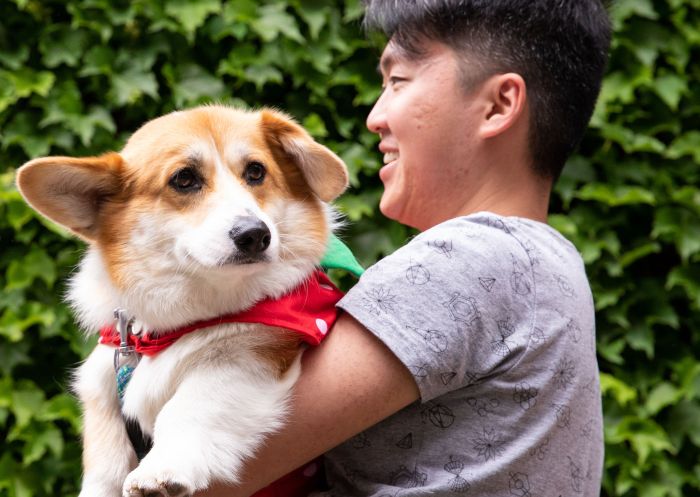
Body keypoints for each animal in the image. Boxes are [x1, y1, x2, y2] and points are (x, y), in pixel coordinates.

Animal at [18, 105, 350, 496]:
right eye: (184, 179)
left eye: (256, 171)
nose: (255, 235)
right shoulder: (103, 387)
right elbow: (104, 457)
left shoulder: (248, 355)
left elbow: (189, 405)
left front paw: (161, 468)